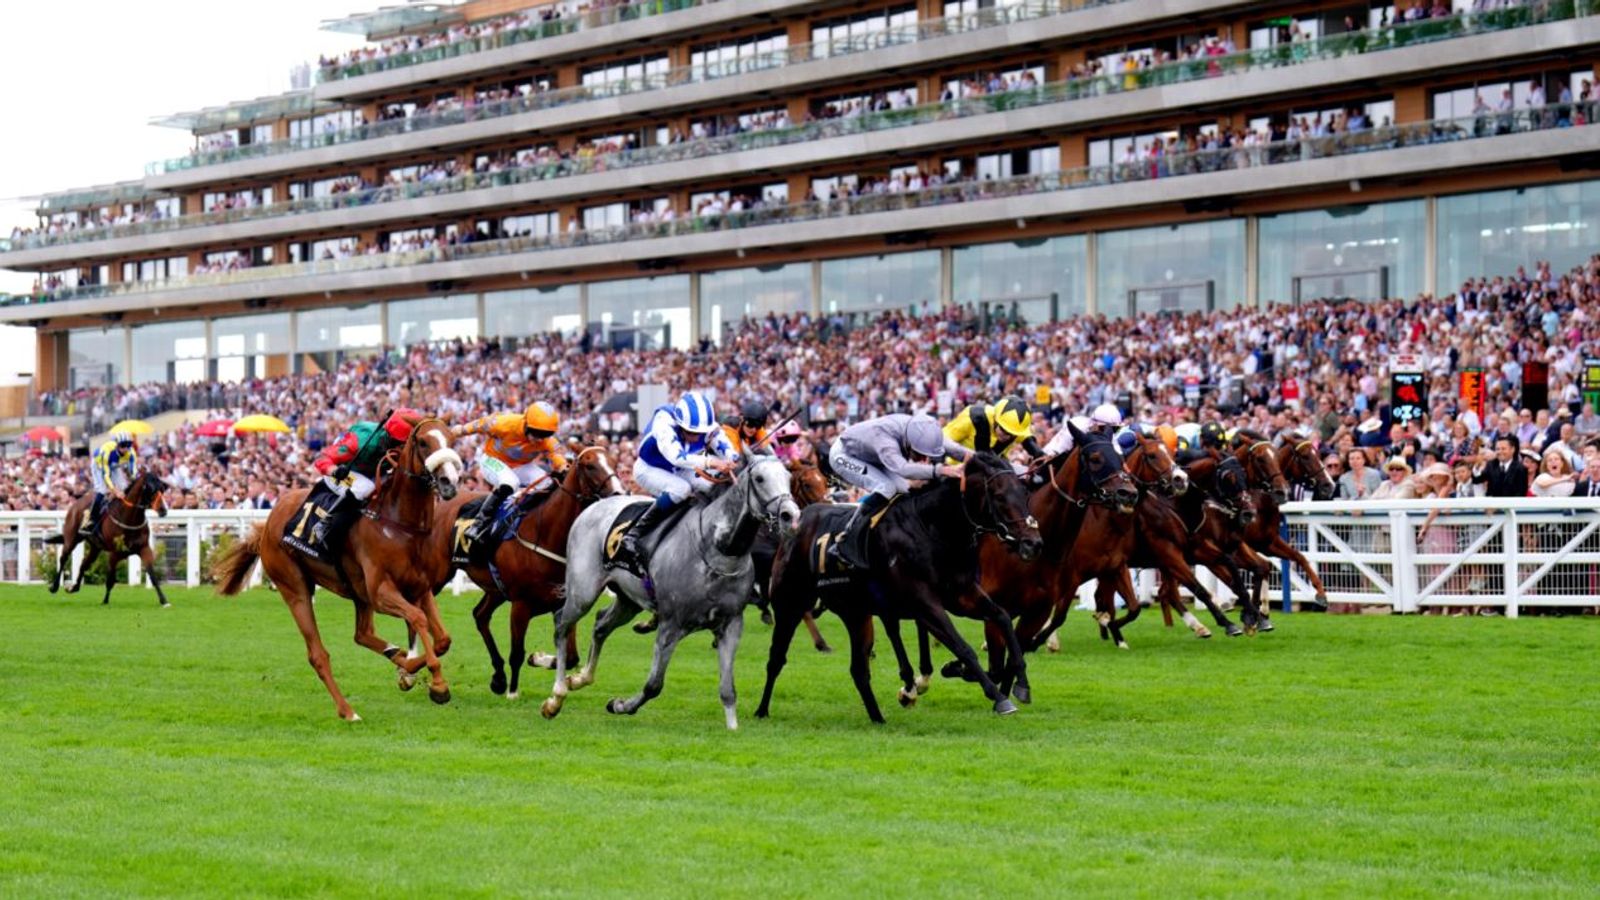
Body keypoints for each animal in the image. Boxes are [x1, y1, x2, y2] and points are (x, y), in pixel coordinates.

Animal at [46, 464, 172, 605]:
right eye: (150, 489)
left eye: (162, 489)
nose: (163, 510)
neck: (129, 518)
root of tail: (77, 502)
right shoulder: (114, 553)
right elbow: (110, 580)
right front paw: (105, 601)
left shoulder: (144, 548)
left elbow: (152, 574)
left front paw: (164, 601)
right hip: (71, 538)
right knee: (63, 558)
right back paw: (54, 586)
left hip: (95, 547)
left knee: (84, 563)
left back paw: (74, 587)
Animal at [208, 416, 464, 717]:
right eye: (423, 442)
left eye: (452, 439)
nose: (449, 482)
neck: (399, 525)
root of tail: (268, 524)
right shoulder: (381, 593)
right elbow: (419, 619)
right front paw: (438, 684)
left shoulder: (419, 588)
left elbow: (443, 639)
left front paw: (410, 671)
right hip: (295, 587)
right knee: (318, 654)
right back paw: (348, 711)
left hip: (357, 592)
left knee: (362, 634)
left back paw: (400, 661)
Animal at [451, 445, 630, 698]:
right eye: (589, 465)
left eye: (614, 462)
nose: (618, 493)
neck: (547, 534)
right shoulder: (521, 604)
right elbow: (517, 653)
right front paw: (513, 692)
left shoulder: (564, 601)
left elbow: (571, 657)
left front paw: (539, 659)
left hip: (495, 590)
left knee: (480, 615)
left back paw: (498, 678)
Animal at [540, 454, 800, 730]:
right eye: (760, 478)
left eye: (788, 477)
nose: (790, 515)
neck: (716, 549)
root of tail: (594, 506)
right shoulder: (671, 624)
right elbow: (653, 685)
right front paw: (620, 705)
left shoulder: (731, 625)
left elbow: (728, 689)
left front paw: (733, 727)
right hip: (583, 591)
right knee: (562, 626)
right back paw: (556, 697)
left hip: (628, 600)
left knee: (600, 625)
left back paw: (579, 679)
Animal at [755, 448, 1043, 720]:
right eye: (999, 495)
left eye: (1025, 493)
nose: (1033, 543)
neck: (933, 529)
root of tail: (796, 521)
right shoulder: (924, 603)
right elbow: (963, 646)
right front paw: (998, 697)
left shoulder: (961, 595)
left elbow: (1002, 617)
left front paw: (1022, 683)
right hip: (790, 604)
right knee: (776, 658)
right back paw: (761, 710)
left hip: (856, 613)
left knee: (859, 669)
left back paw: (877, 717)